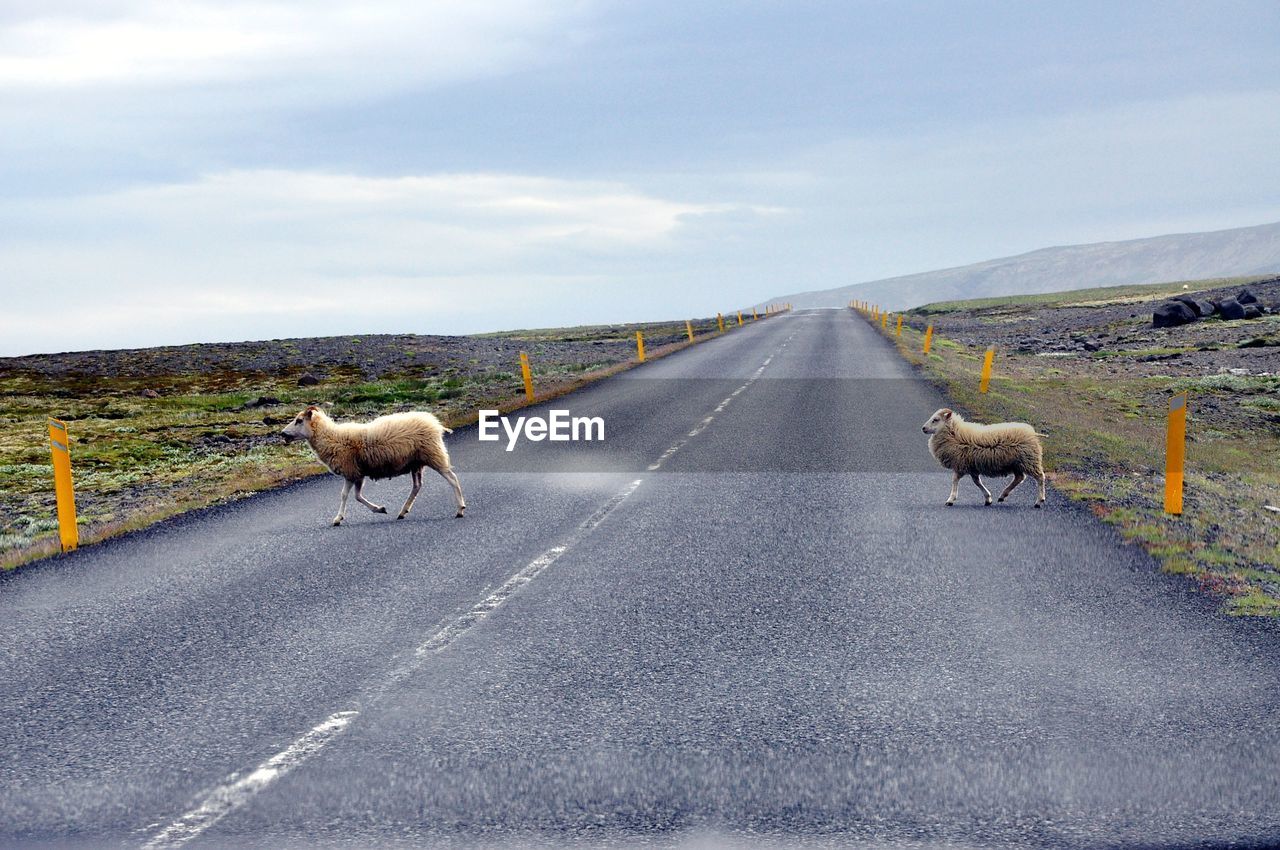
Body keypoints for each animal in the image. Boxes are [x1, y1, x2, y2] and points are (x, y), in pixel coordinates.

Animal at [280, 404, 465, 524]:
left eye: (299, 420)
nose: (282, 433)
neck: (330, 437)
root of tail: (436, 424)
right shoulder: (358, 473)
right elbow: (357, 496)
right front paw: (379, 509)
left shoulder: (351, 471)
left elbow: (345, 495)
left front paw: (338, 518)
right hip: (416, 463)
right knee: (417, 486)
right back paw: (402, 512)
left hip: (433, 455)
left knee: (452, 478)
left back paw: (460, 509)